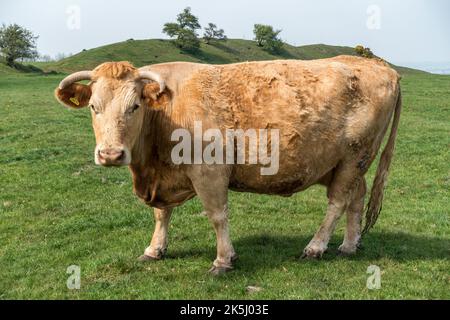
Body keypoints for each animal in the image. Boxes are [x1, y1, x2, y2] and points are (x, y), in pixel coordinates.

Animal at [54, 56, 402, 274]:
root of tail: (377, 65)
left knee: (338, 202)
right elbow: (161, 214)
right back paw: (349, 245)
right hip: (348, 164)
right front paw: (155, 250)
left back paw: (316, 247)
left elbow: (218, 216)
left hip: (353, 158)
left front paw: (223, 260)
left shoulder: (209, 172)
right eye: (93, 106)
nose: (111, 154)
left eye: (135, 106)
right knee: (356, 199)